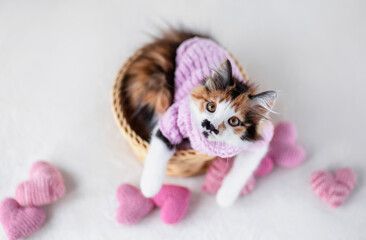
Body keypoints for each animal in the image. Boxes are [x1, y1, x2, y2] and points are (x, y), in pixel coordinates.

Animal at [123, 29, 278, 206]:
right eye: (211, 106)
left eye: (234, 121)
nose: (210, 125)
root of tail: (193, 37)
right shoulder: (172, 119)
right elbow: (159, 150)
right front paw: (149, 188)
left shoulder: (259, 141)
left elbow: (242, 171)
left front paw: (224, 198)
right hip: (158, 89)